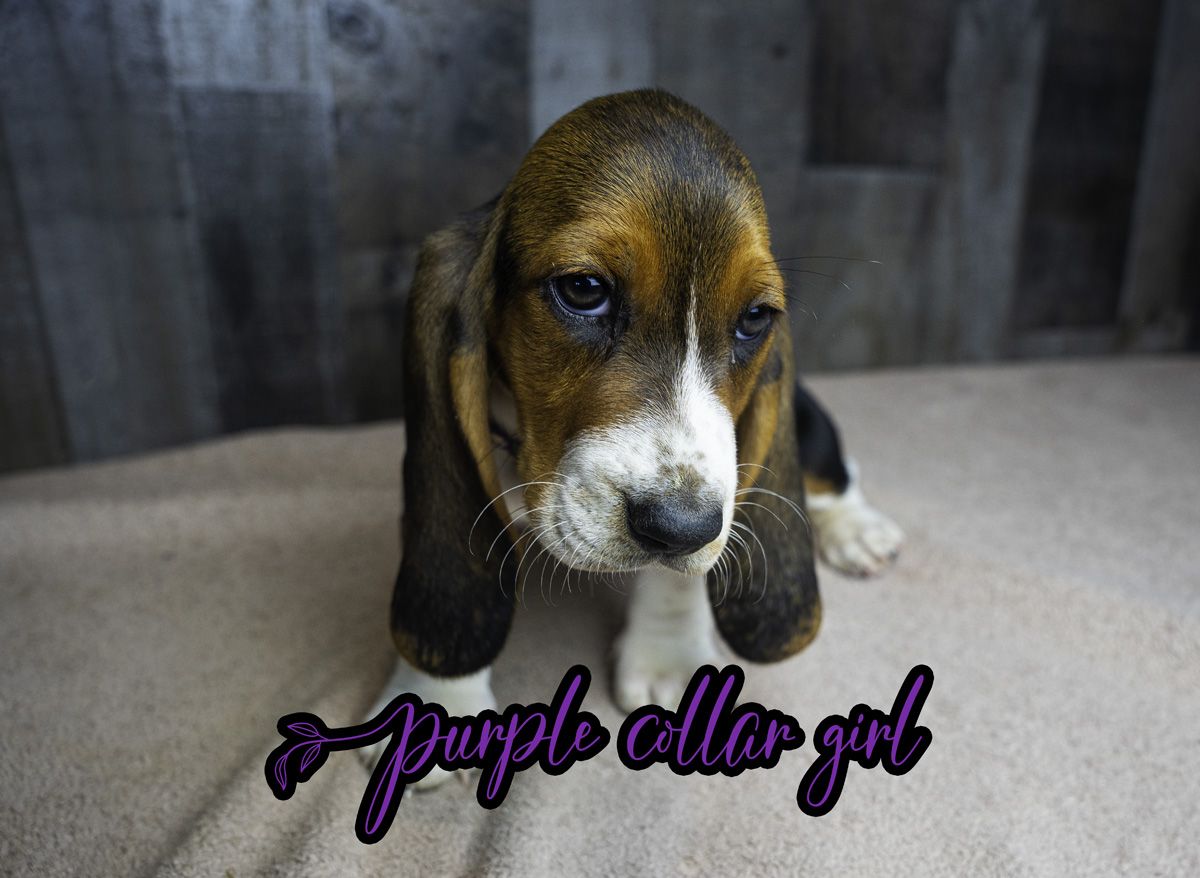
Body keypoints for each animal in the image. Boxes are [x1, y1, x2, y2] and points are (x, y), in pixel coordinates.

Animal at [363, 90, 903, 784]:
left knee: (834, 464)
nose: (680, 526)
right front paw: (435, 698)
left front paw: (669, 656)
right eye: (583, 289)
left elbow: (682, 571)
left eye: (755, 318)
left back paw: (855, 529)